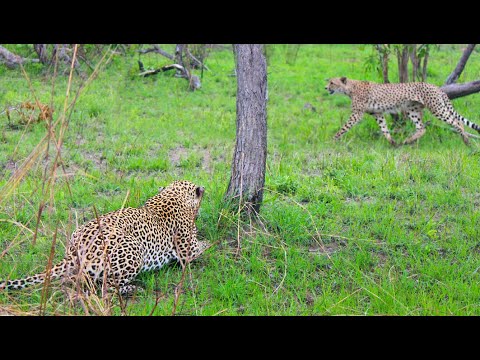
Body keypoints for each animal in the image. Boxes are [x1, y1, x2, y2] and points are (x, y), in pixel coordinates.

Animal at [0, 180, 210, 296]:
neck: (173, 195)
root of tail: (73, 251)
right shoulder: (187, 251)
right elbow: (202, 246)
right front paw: (210, 243)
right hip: (134, 251)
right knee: (105, 287)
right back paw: (135, 289)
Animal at [322, 76, 480, 146]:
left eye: (332, 82)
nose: (325, 88)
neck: (350, 88)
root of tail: (436, 86)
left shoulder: (356, 114)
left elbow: (344, 127)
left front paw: (333, 140)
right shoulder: (377, 114)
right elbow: (384, 129)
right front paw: (392, 142)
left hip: (437, 109)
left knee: (457, 123)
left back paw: (467, 141)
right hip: (412, 110)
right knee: (422, 128)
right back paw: (408, 141)